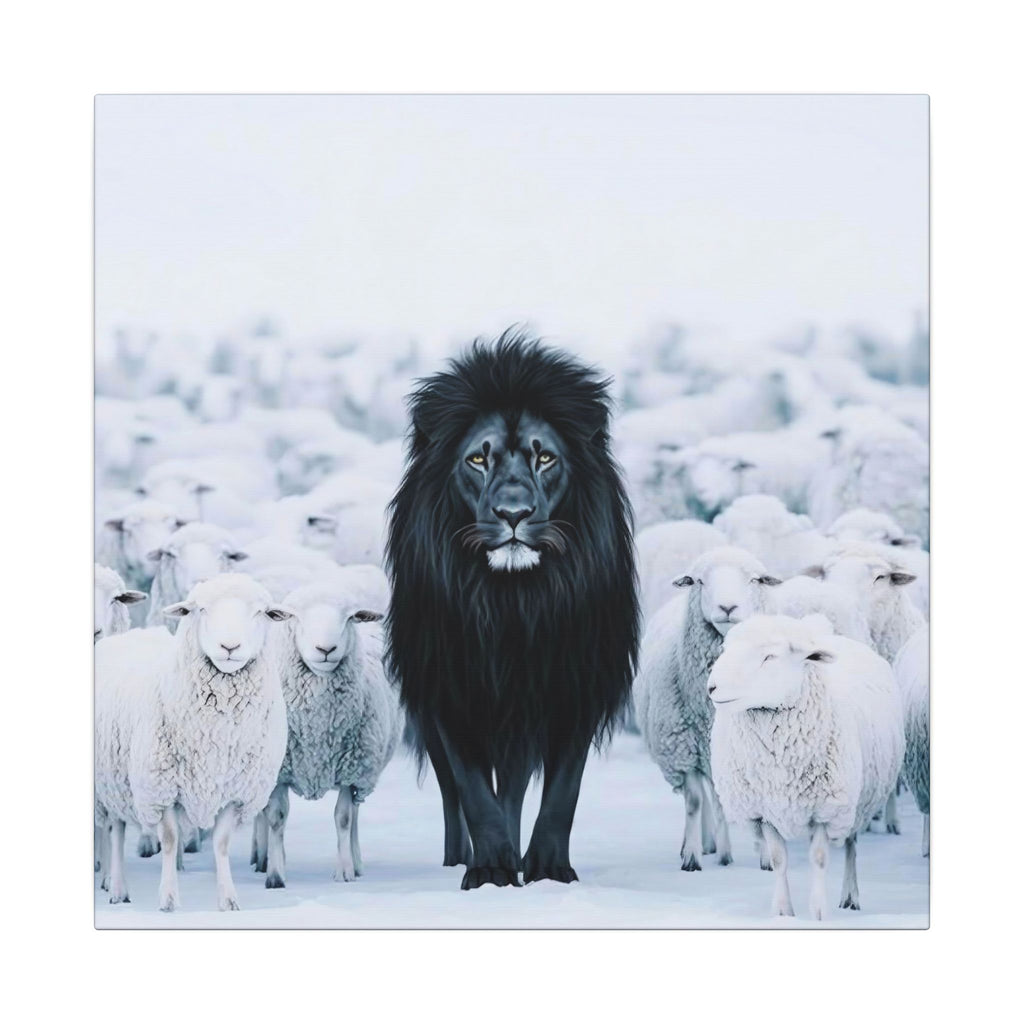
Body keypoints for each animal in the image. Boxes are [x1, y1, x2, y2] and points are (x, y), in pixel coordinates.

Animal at [94, 574, 291, 910]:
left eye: (261, 613)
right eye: (200, 609)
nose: (229, 646)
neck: (217, 733)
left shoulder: (235, 792)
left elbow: (221, 843)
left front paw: (228, 900)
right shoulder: (161, 789)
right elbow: (170, 839)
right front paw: (169, 899)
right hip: (115, 782)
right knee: (115, 830)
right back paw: (117, 887)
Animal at [251, 577, 402, 887]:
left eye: (350, 618)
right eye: (294, 616)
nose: (326, 649)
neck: (317, 728)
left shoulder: (350, 770)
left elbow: (343, 818)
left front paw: (344, 871)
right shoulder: (279, 771)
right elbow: (276, 817)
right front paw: (275, 874)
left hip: (364, 774)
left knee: (355, 813)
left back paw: (356, 863)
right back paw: (262, 858)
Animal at [385, 330, 640, 889]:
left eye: (545, 459)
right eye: (478, 460)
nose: (514, 513)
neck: (514, 604)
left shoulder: (573, 687)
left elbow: (562, 792)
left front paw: (547, 870)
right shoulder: (451, 691)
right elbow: (475, 793)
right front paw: (489, 871)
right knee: (454, 795)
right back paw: (460, 858)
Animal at [708, 614, 905, 918]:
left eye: (769, 657)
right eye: (725, 650)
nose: (712, 687)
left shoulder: (825, 811)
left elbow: (819, 858)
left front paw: (819, 912)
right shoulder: (765, 812)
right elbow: (778, 860)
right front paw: (782, 912)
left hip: (855, 803)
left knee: (851, 847)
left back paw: (850, 896)